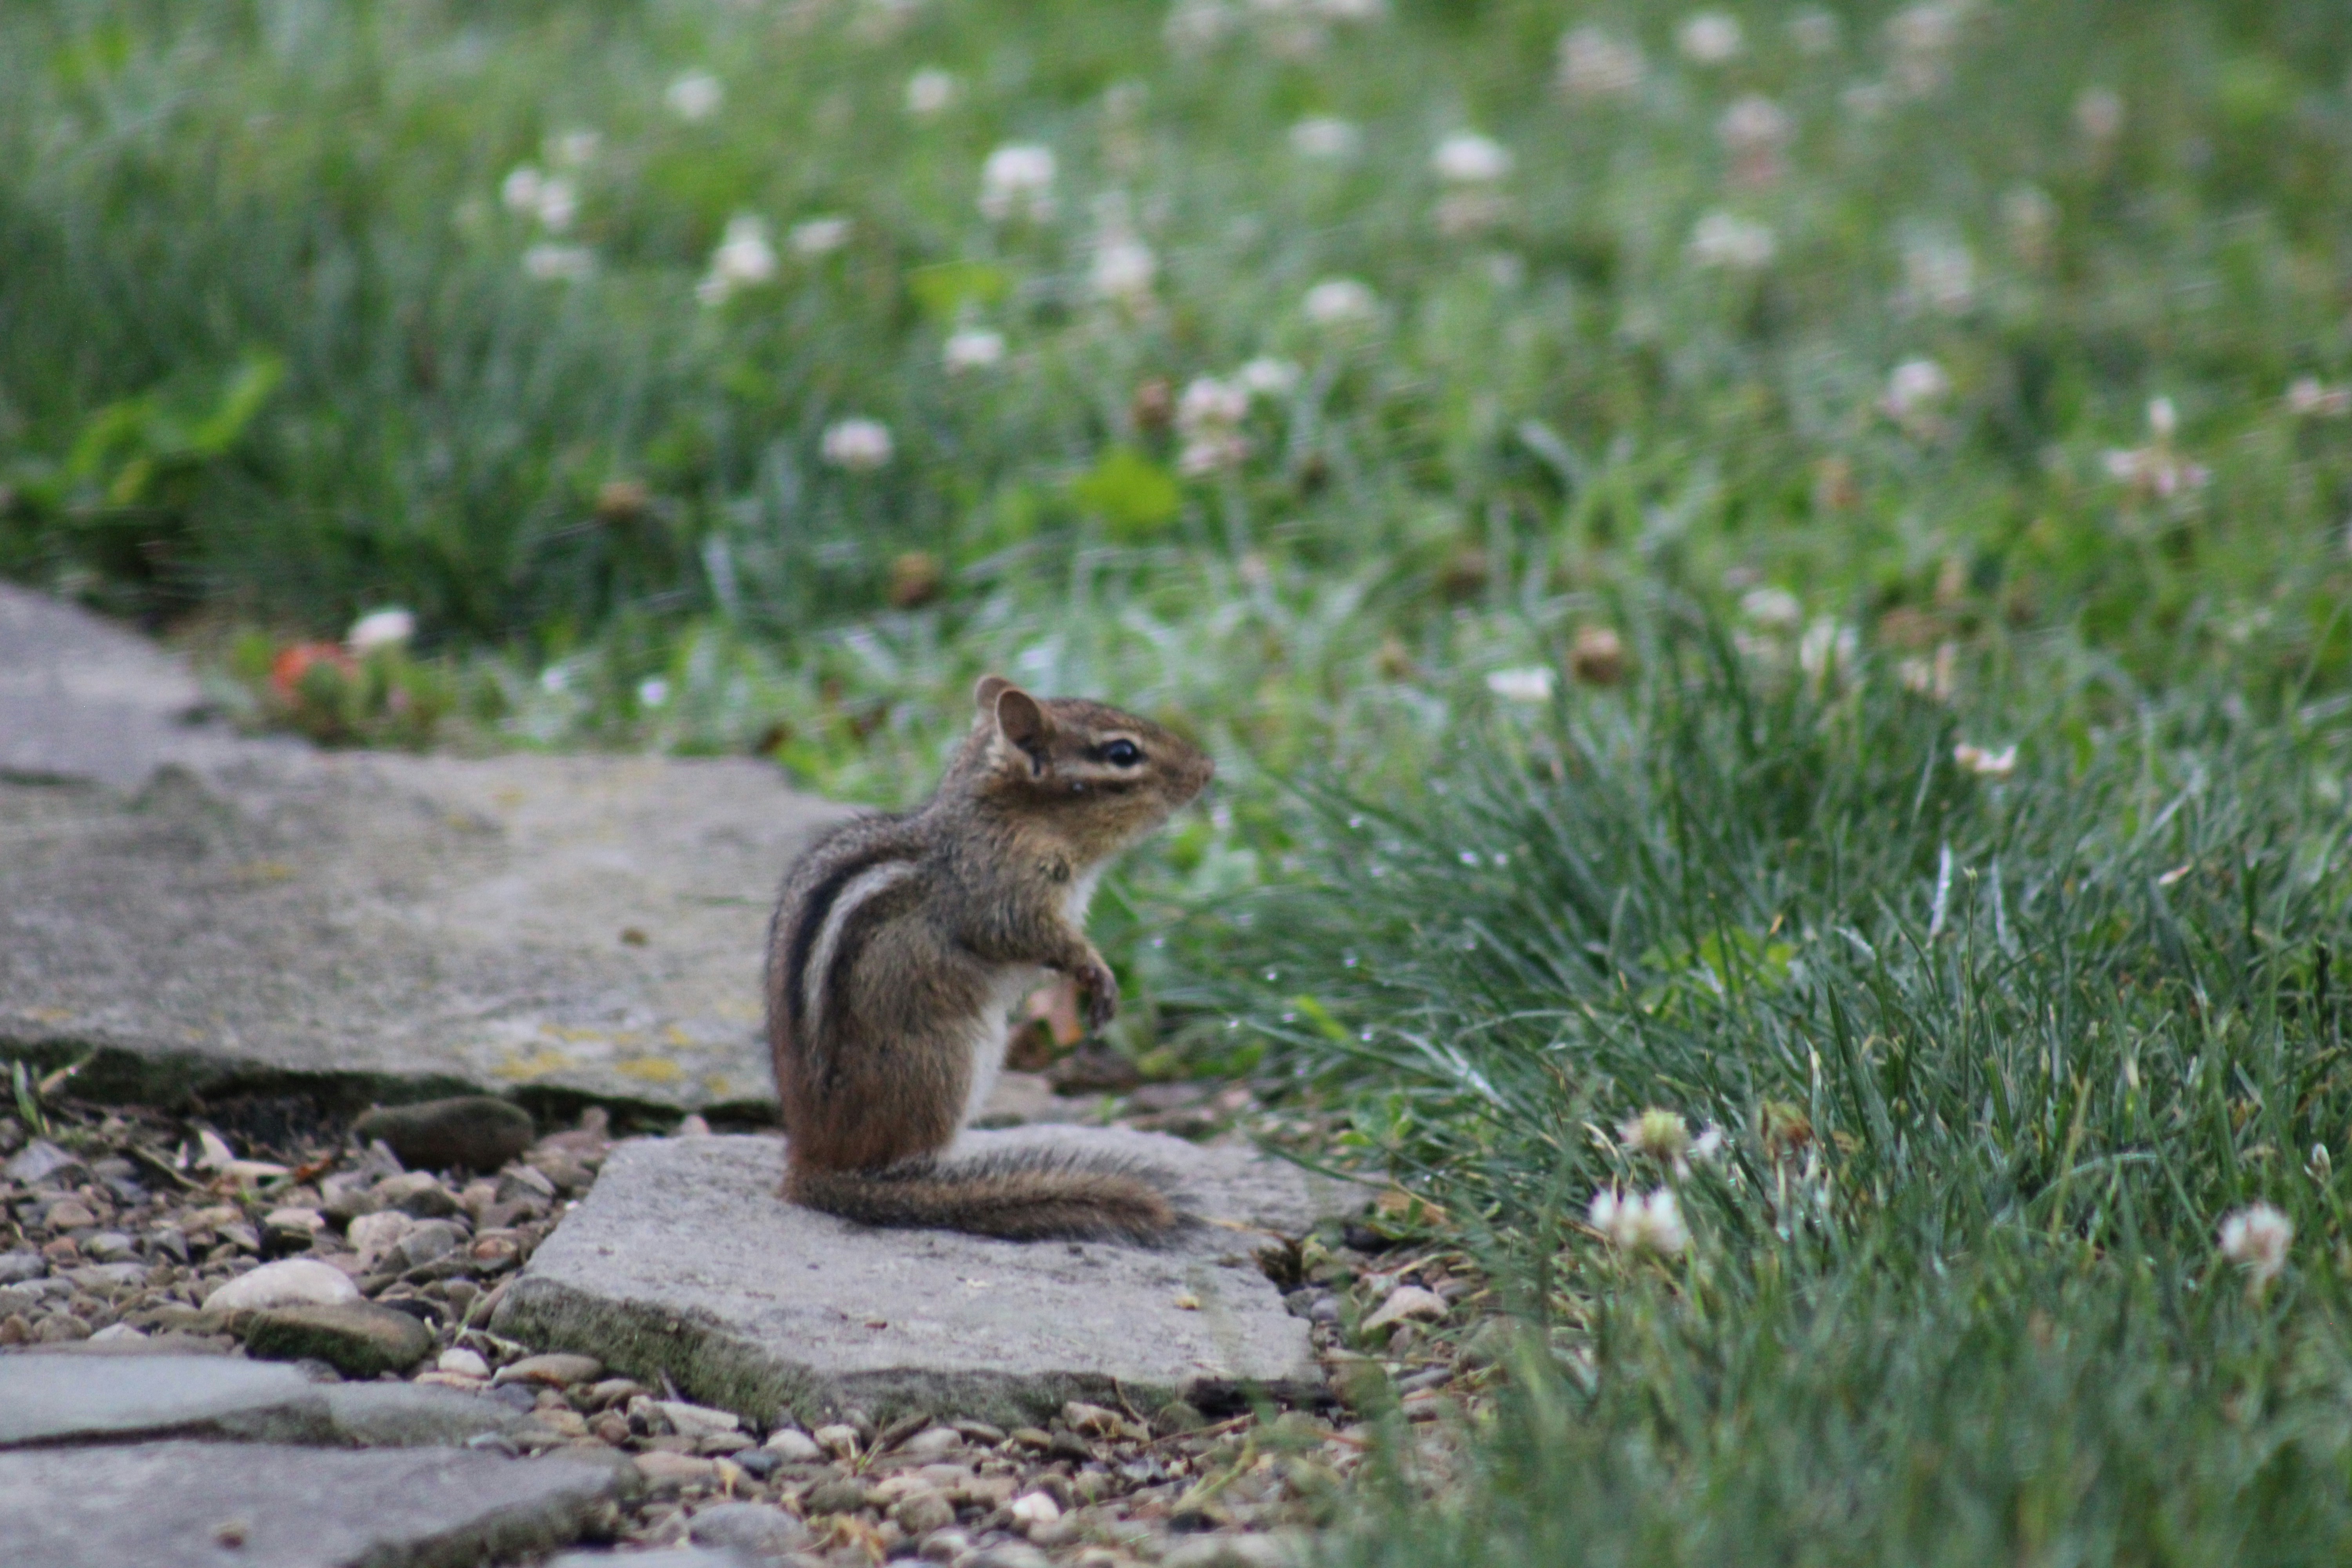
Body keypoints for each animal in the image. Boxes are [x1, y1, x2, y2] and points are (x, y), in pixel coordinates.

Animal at [765, 675, 1214, 1244]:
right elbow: (1030, 937)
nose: (1208, 769)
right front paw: (1097, 976)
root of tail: (812, 1163)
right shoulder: (1004, 894)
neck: (1009, 816)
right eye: (1123, 754)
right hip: (950, 1060)